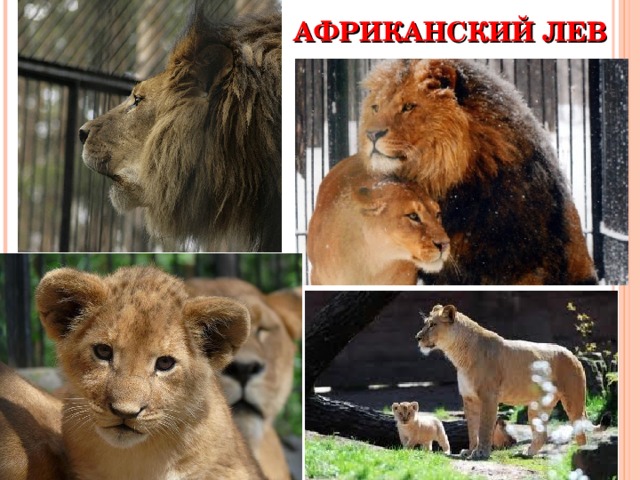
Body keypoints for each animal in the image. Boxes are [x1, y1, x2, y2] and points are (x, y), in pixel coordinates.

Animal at [415, 304, 588, 460]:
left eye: (433, 324)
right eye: (426, 323)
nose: (417, 337)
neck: (459, 356)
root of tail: (572, 354)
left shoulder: (489, 397)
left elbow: (484, 427)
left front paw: (481, 453)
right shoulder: (469, 398)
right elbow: (472, 429)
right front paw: (470, 451)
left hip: (573, 399)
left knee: (581, 430)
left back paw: (581, 454)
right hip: (537, 405)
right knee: (542, 434)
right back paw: (526, 453)